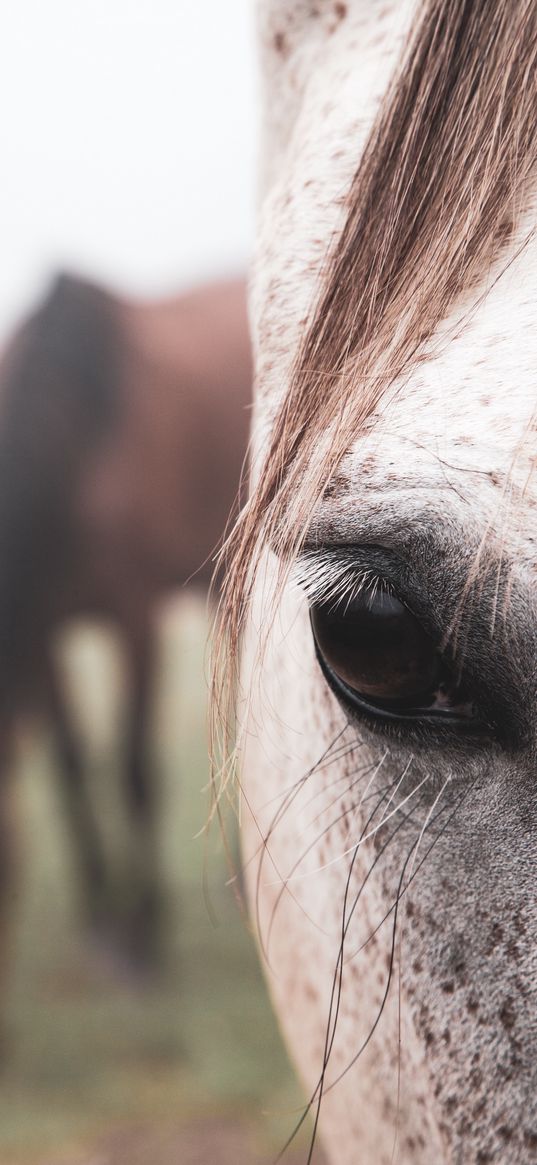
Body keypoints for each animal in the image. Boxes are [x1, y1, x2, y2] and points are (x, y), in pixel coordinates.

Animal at [0, 267, 251, 969]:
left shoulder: (136, 614)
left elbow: (134, 765)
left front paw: (142, 933)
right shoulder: (47, 629)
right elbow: (70, 765)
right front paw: (98, 916)